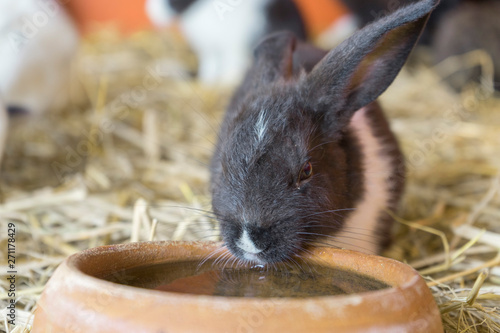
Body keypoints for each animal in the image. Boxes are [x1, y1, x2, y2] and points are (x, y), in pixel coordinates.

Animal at [146, 0, 304, 84]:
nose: (150, 12)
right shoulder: (210, 52)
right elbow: (209, 67)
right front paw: (207, 82)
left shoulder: (232, 50)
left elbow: (231, 68)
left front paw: (224, 82)